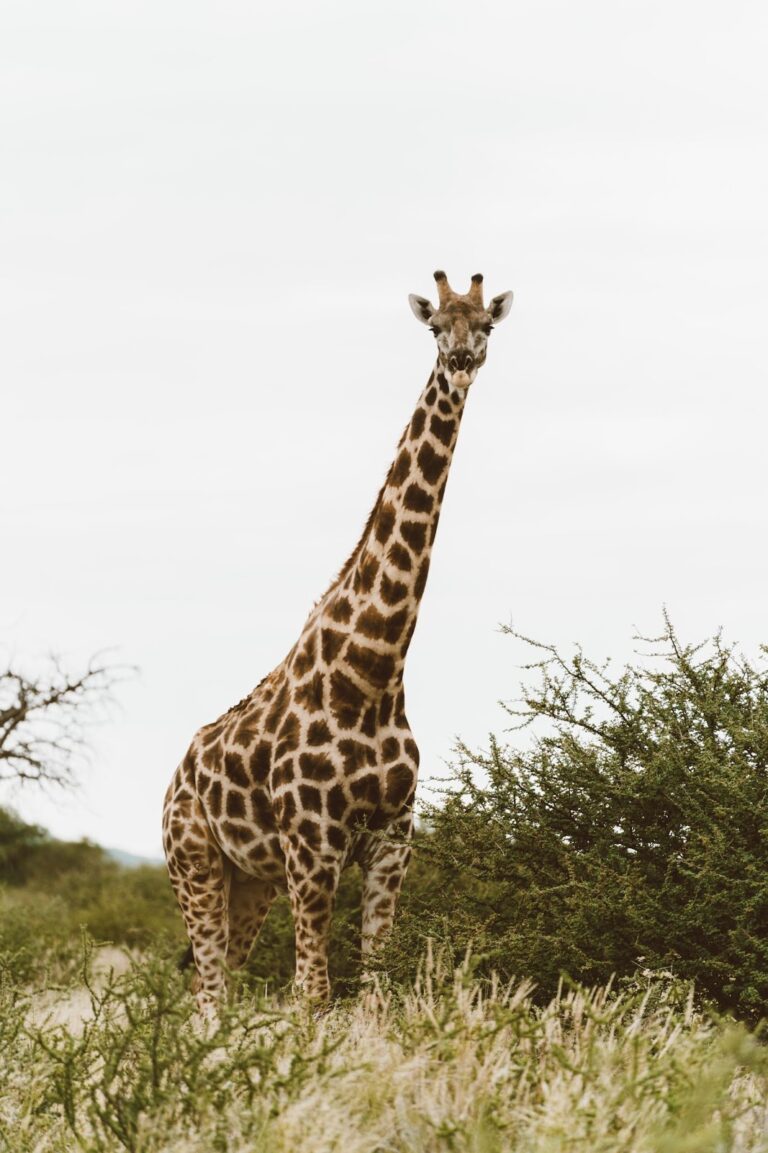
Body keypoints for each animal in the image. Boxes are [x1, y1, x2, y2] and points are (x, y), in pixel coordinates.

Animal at [162, 269, 512, 1010]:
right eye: (434, 325)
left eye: (487, 324)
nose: (462, 360)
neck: (373, 672)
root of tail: (175, 776)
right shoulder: (312, 846)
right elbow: (313, 995)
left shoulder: (391, 842)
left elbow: (376, 988)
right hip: (194, 863)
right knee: (208, 996)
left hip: (251, 880)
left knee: (218, 986)